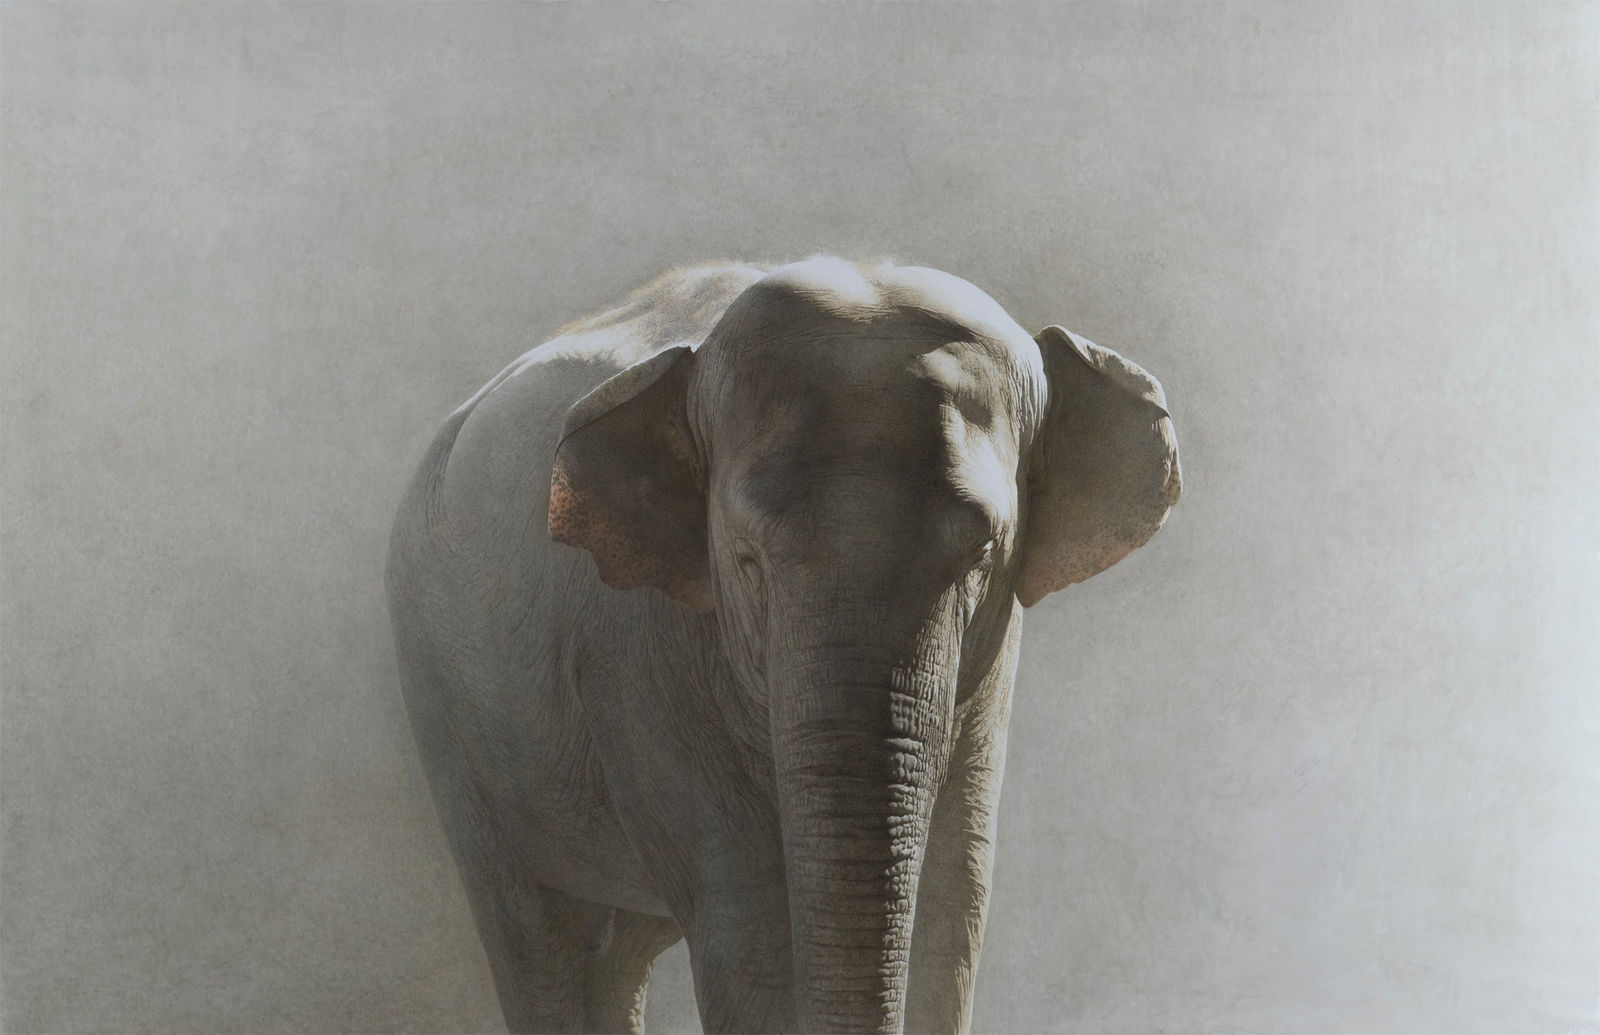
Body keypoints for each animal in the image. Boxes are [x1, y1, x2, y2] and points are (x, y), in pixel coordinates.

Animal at [385, 257, 1180, 1035]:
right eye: (745, 558)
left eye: (984, 554)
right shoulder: (636, 655)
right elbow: (750, 928)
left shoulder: (989, 672)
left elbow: (951, 911)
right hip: (444, 709)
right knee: (537, 937)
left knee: (613, 954)